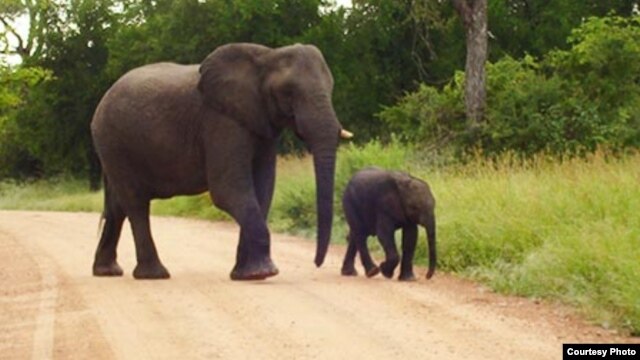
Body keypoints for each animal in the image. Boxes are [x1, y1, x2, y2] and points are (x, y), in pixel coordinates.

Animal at [91, 43, 350, 282]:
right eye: (288, 91)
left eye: (331, 87)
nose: (317, 264)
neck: (266, 56)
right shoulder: (221, 120)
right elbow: (229, 191)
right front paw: (264, 272)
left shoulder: (260, 124)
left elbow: (263, 191)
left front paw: (245, 275)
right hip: (113, 141)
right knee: (135, 203)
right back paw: (154, 275)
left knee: (117, 206)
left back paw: (107, 271)